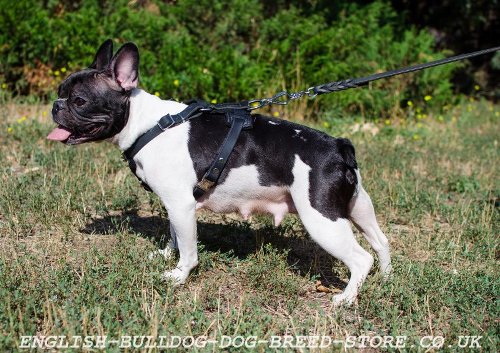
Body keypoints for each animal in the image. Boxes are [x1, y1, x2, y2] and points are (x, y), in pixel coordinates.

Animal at [47, 40, 390, 302]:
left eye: (79, 100)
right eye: (61, 90)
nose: (56, 105)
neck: (147, 124)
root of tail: (339, 147)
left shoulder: (181, 205)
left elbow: (188, 249)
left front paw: (178, 276)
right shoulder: (176, 206)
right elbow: (175, 235)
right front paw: (165, 255)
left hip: (322, 219)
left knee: (361, 258)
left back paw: (346, 298)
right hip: (358, 207)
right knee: (381, 242)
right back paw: (386, 280)